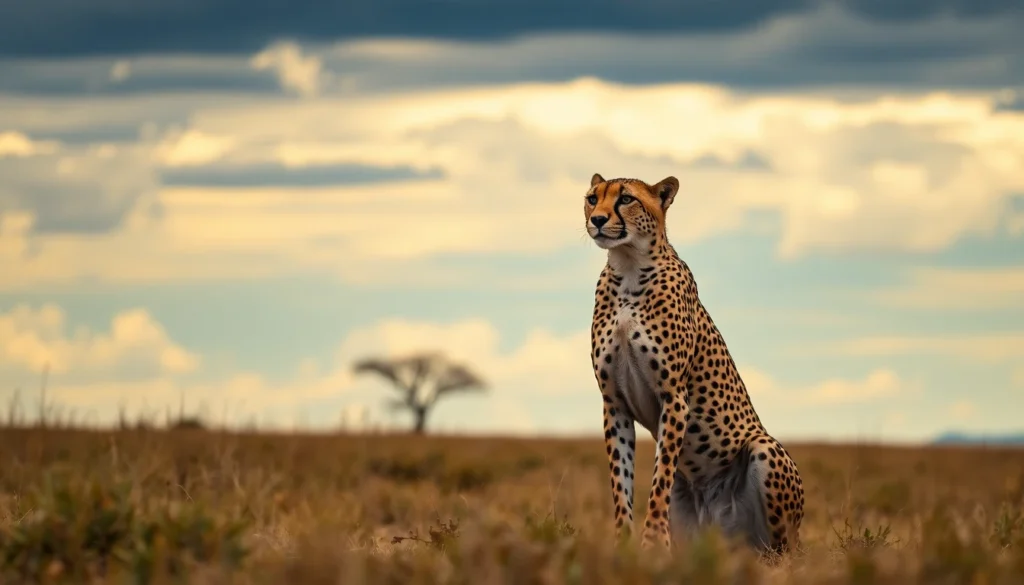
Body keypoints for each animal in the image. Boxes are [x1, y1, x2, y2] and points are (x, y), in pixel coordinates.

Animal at [583, 172, 804, 555]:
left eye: (625, 198)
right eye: (592, 197)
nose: (596, 220)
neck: (628, 268)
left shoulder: (674, 396)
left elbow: (658, 482)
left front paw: (652, 544)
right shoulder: (614, 404)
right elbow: (621, 484)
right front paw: (624, 546)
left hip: (765, 453)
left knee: (782, 552)